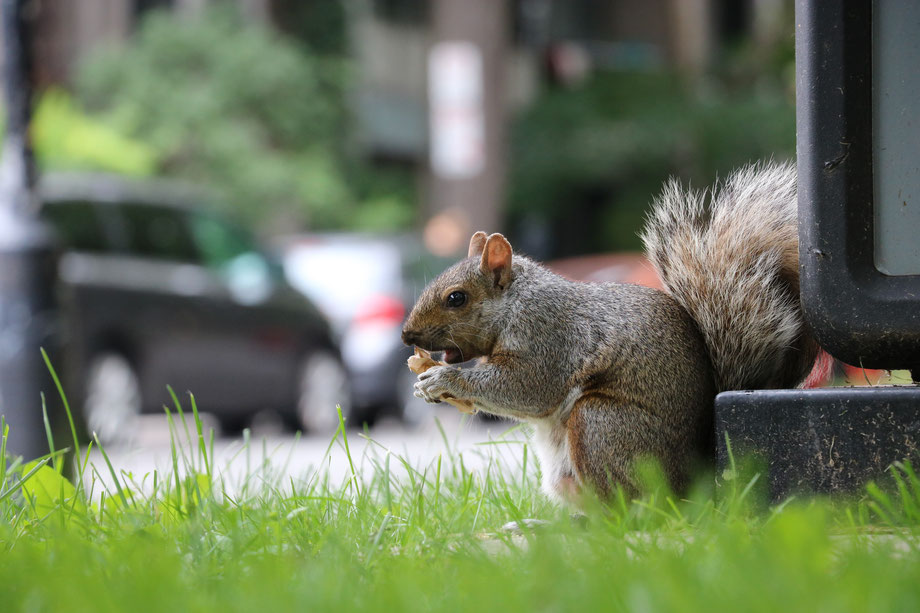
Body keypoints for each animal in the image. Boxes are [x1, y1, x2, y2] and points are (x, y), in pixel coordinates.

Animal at [398, 163, 816, 502]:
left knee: (629, 507)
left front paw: (442, 379)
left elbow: (528, 389)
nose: (406, 336)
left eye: (456, 298)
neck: (516, 302)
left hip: (603, 425)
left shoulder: (549, 335)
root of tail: (693, 480)